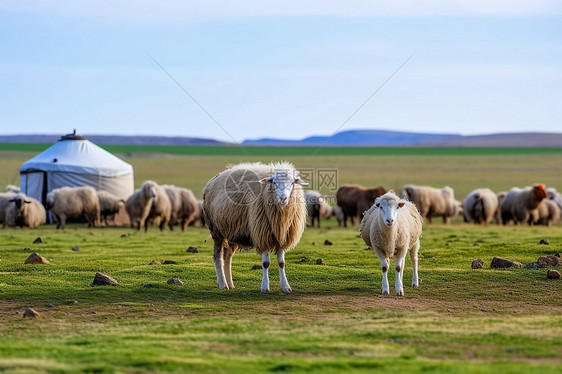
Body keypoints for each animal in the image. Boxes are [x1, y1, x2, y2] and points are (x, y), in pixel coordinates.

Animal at [201, 162, 306, 294]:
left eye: (292, 183)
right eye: (274, 182)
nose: (283, 198)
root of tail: (211, 181)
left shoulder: (282, 235)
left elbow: (282, 263)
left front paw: (286, 287)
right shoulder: (263, 234)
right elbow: (266, 263)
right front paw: (265, 287)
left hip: (233, 231)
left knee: (227, 256)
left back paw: (230, 284)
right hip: (216, 230)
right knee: (218, 256)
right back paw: (222, 283)